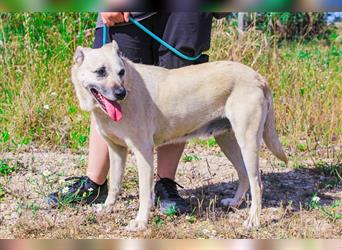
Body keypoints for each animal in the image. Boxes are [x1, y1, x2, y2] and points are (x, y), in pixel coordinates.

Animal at [72, 41, 288, 230]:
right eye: (100, 71)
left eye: (121, 72)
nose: (121, 93)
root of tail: (257, 76)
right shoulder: (116, 150)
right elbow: (115, 185)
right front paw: (107, 208)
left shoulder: (144, 152)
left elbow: (144, 193)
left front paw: (140, 222)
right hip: (227, 141)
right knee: (243, 174)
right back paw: (234, 202)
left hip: (248, 142)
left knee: (257, 183)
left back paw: (253, 220)